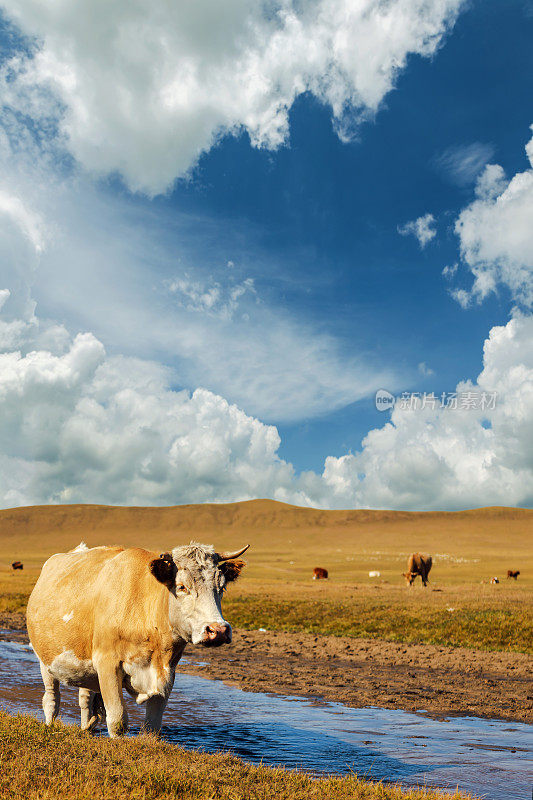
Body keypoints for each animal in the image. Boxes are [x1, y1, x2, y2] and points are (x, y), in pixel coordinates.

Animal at [25, 540, 247, 740]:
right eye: (182, 587)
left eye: (221, 587)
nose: (218, 630)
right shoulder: (107, 664)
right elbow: (117, 719)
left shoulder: (167, 673)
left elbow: (152, 726)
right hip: (44, 660)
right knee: (51, 699)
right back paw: (50, 724)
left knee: (85, 700)